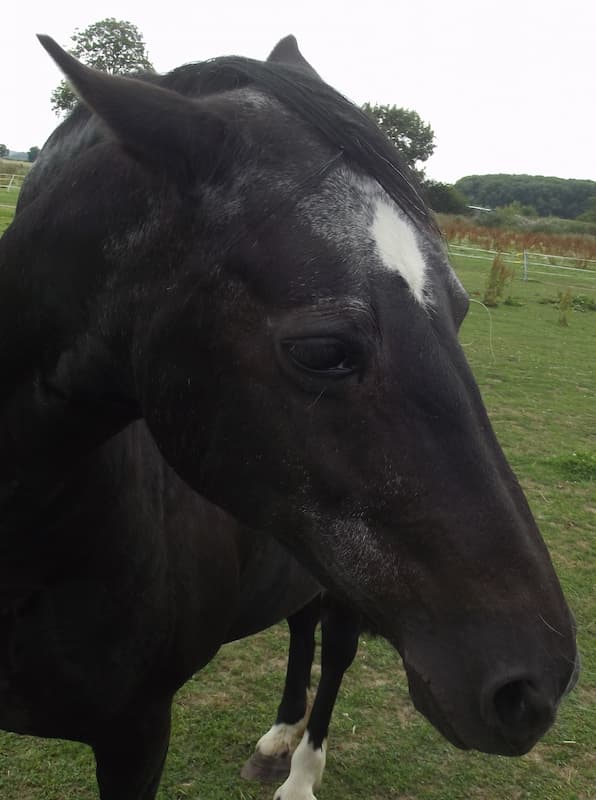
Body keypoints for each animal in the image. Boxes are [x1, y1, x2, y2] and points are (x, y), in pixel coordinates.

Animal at [0, 32, 578, 800]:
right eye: (323, 350)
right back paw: (277, 736)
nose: (536, 685)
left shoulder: (138, 733)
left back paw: (301, 772)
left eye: (459, 311)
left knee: (333, 655)